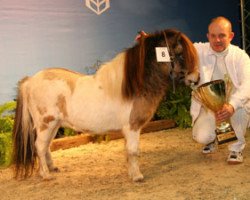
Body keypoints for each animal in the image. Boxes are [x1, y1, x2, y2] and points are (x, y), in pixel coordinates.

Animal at [12, 28, 199, 181]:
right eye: (180, 53)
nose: (196, 79)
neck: (132, 87)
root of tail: (30, 81)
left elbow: (128, 151)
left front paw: (131, 173)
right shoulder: (132, 127)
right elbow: (133, 151)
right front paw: (137, 176)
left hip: (54, 125)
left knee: (46, 147)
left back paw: (52, 168)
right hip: (46, 124)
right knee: (39, 146)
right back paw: (46, 175)